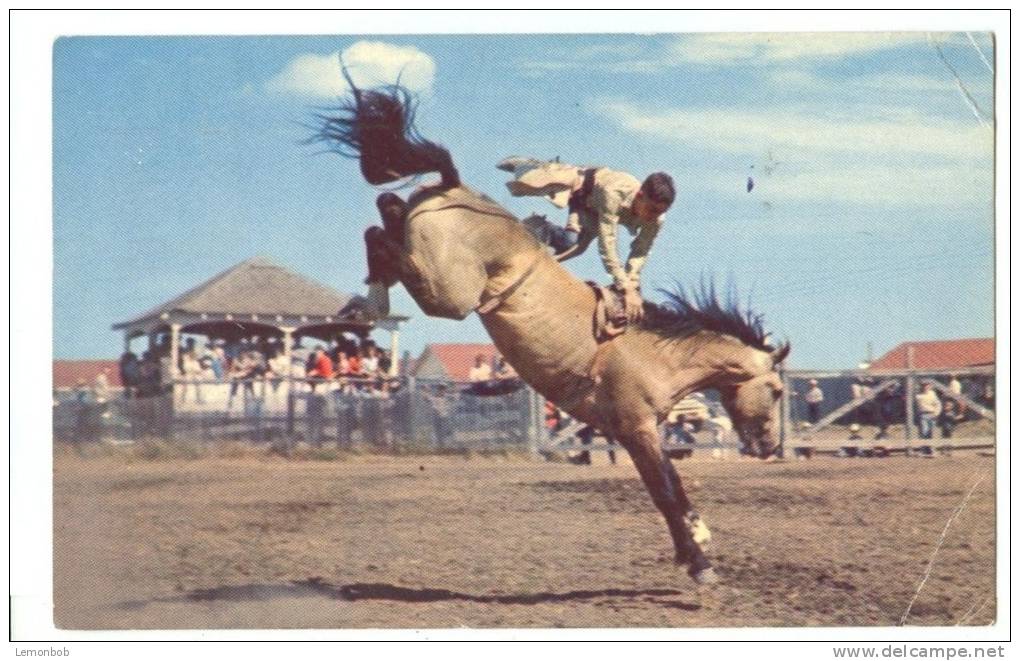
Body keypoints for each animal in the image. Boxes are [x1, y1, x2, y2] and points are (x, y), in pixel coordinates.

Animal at [310, 74, 787, 587]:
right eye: (778, 390)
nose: (769, 447)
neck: (661, 355)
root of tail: (456, 187)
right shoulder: (637, 428)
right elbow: (666, 491)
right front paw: (700, 561)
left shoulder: (637, 432)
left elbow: (669, 490)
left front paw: (693, 547)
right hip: (449, 292)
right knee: (383, 237)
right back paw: (373, 303)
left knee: (386, 211)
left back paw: (368, 293)